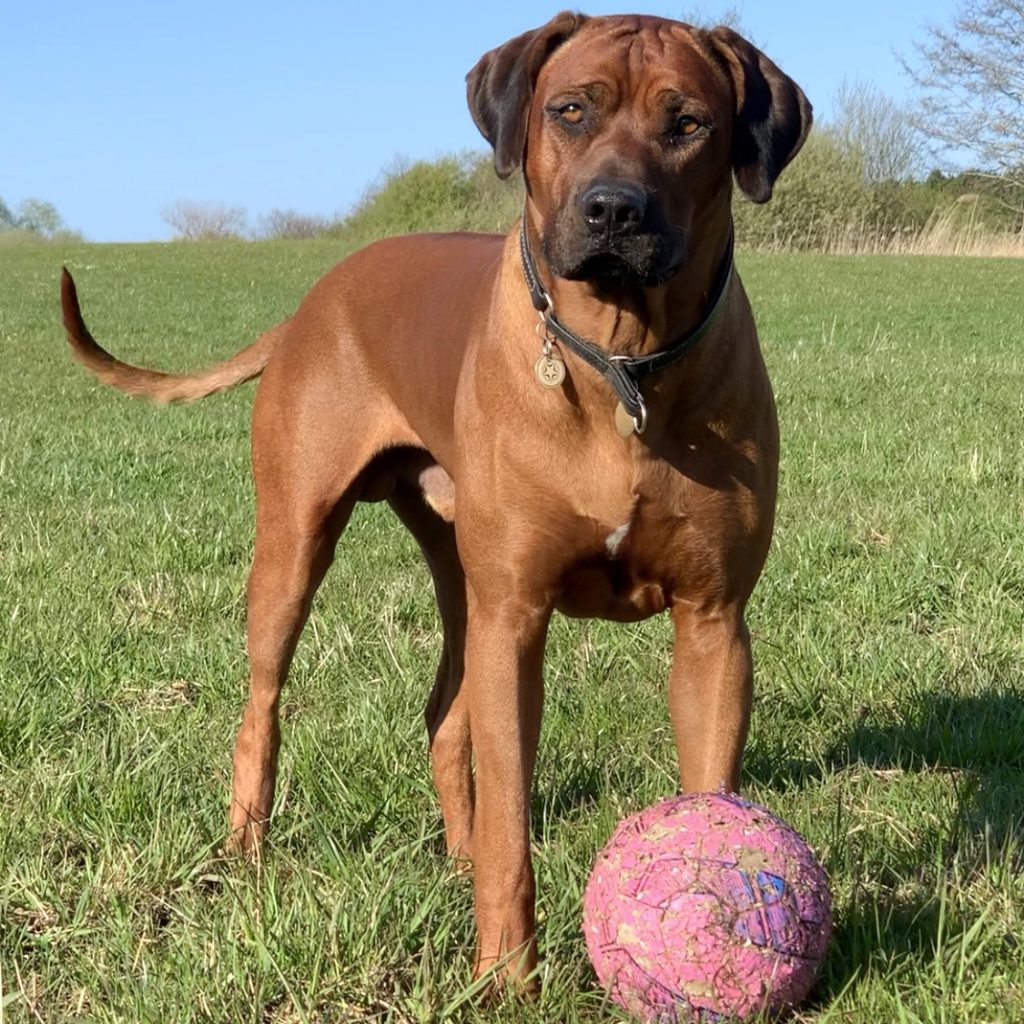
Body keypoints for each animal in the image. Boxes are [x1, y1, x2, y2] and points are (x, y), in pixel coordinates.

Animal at [61, 12, 806, 991]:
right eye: (570, 110)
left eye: (689, 124)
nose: (613, 211)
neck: (621, 366)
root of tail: (311, 301)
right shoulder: (515, 613)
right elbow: (513, 823)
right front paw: (507, 977)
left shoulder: (713, 622)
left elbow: (707, 795)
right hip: (299, 543)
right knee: (264, 703)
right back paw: (247, 851)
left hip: (461, 576)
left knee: (446, 718)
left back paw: (453, 856)